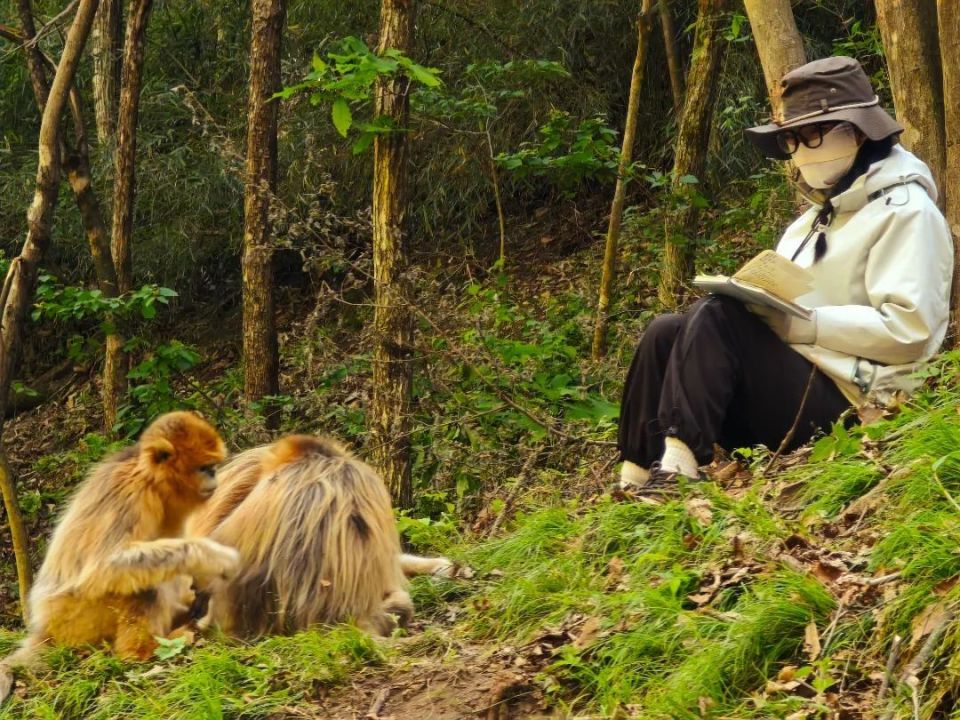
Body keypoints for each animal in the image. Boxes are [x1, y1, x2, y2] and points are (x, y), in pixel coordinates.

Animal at [0, 411, 240, 703]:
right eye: (205, 468)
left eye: (213, 468)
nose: (214, 480)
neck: (149, 479)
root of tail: (44, 629)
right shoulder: (131, 491)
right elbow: (104, 566)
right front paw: (212, 557)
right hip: (74, 618)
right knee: (140, 584)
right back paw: (146, 651)